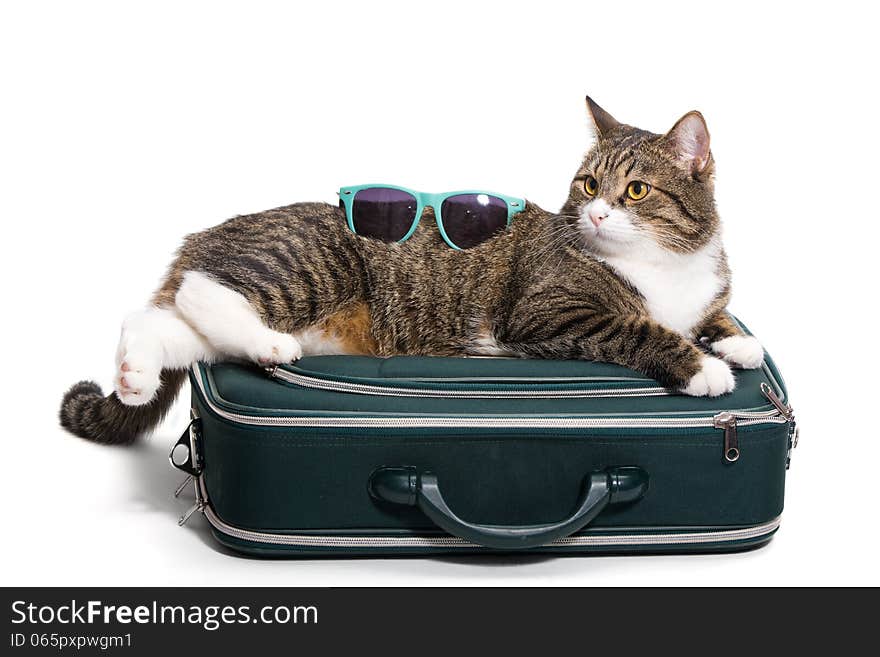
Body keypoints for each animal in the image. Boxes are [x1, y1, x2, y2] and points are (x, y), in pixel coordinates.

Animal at [62, 96, 764, 446]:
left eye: (636, 191)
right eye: (589, 184)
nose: (592, 214)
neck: (665, 263)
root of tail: (205, 235)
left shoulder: (707, 289)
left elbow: (718, 313)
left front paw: (739, 342)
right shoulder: (548, 312)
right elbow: (637, 327)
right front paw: (702, 367)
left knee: (156, 321)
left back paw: (134, 374)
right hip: (311, 263)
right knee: (202, 293)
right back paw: (269, 343)